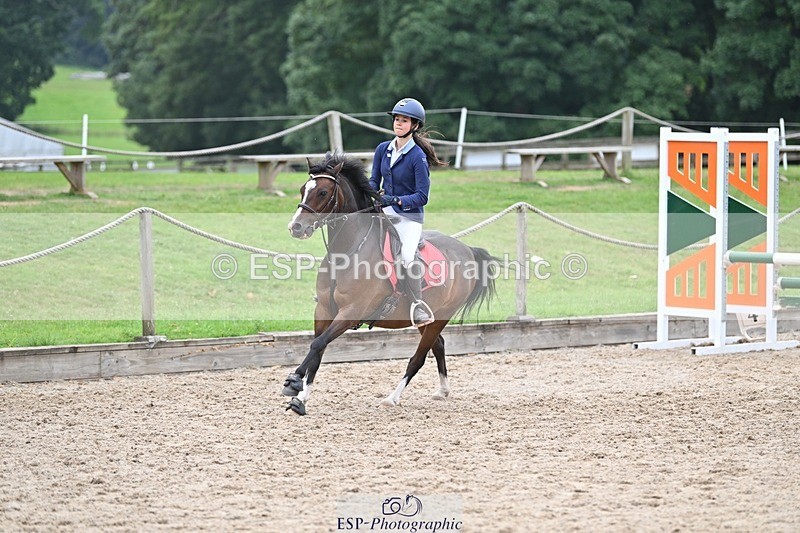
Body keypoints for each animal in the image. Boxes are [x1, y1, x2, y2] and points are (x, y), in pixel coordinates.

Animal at [284, 152, 497, 415]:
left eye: (323, 192)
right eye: (303, 189)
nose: (295, 227)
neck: (345, 253)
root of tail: (467, 249)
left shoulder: (350, 313)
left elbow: (317, 345)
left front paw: (293, 382)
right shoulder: (323, 310)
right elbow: (318, 349)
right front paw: (301, 397)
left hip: (441, 317)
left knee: (419, 358)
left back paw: (392, 398)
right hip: (427, 320)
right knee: (438, 345)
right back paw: (442, 391)